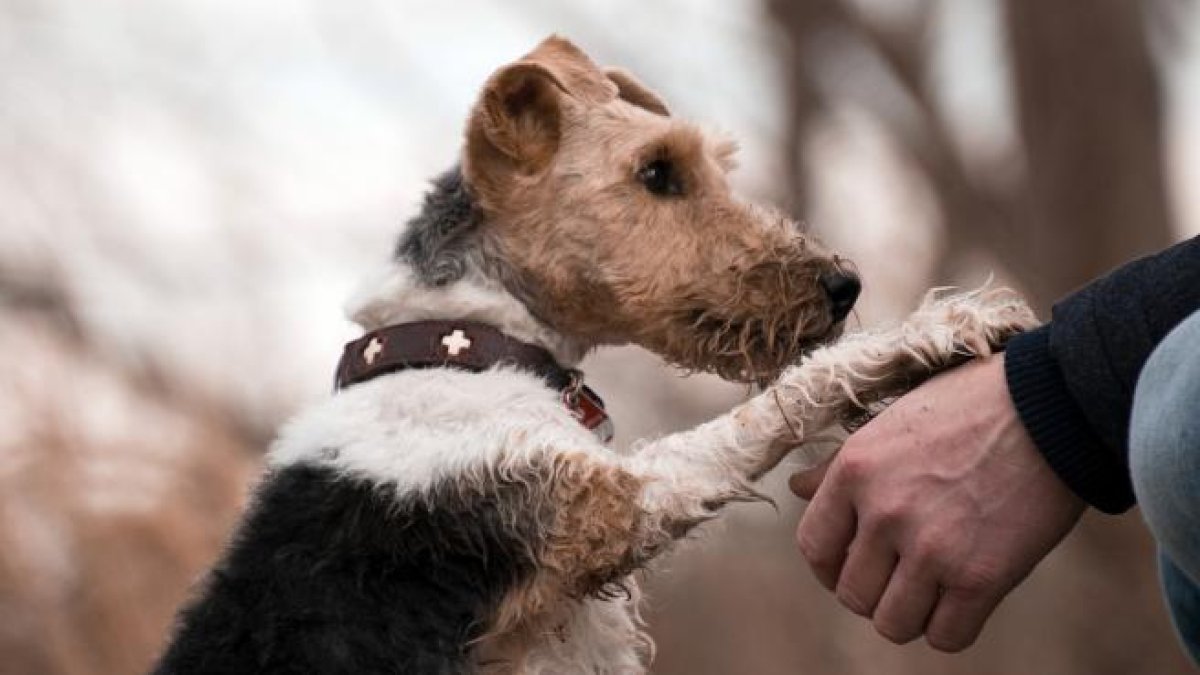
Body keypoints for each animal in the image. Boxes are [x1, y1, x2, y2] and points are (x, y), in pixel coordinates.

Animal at [154, 38, 1036, 672]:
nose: (843, 284)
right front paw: (945, 326)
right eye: (656, 172)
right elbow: (768, 408)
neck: (463, 344)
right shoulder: (608, 502)